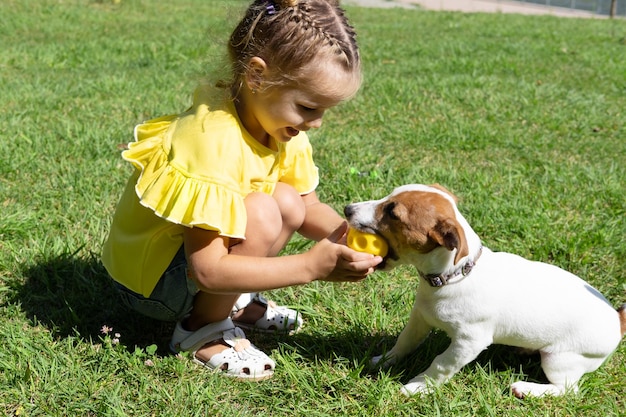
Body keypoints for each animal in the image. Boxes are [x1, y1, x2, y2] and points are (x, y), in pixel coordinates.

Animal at [344, 184, 620, 396]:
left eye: (392, 212)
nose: (347, 209)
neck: (451, 278)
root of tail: (618, 319)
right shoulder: (420, 318)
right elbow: (404, 342)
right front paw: (384, 360)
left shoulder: (469, 342)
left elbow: (440, 364)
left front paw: (418, 387)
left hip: (560, 359)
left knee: (567, 390)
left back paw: (528, 389)